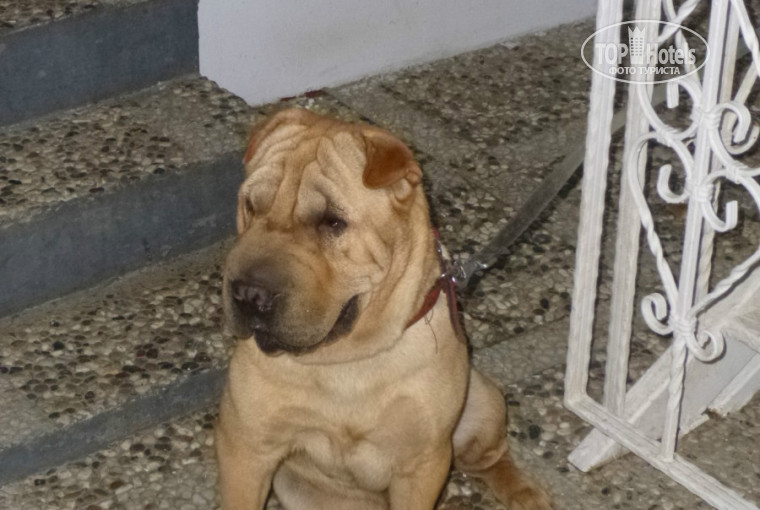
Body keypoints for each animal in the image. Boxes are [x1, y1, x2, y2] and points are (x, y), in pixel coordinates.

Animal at [216, 108, 553, 510]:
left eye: (332, 222)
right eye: (251, 206)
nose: (248, 294)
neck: (345, 360)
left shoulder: (420, 464)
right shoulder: (246, 448)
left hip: (483, 400)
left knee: (491, 457)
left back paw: (524, 492)